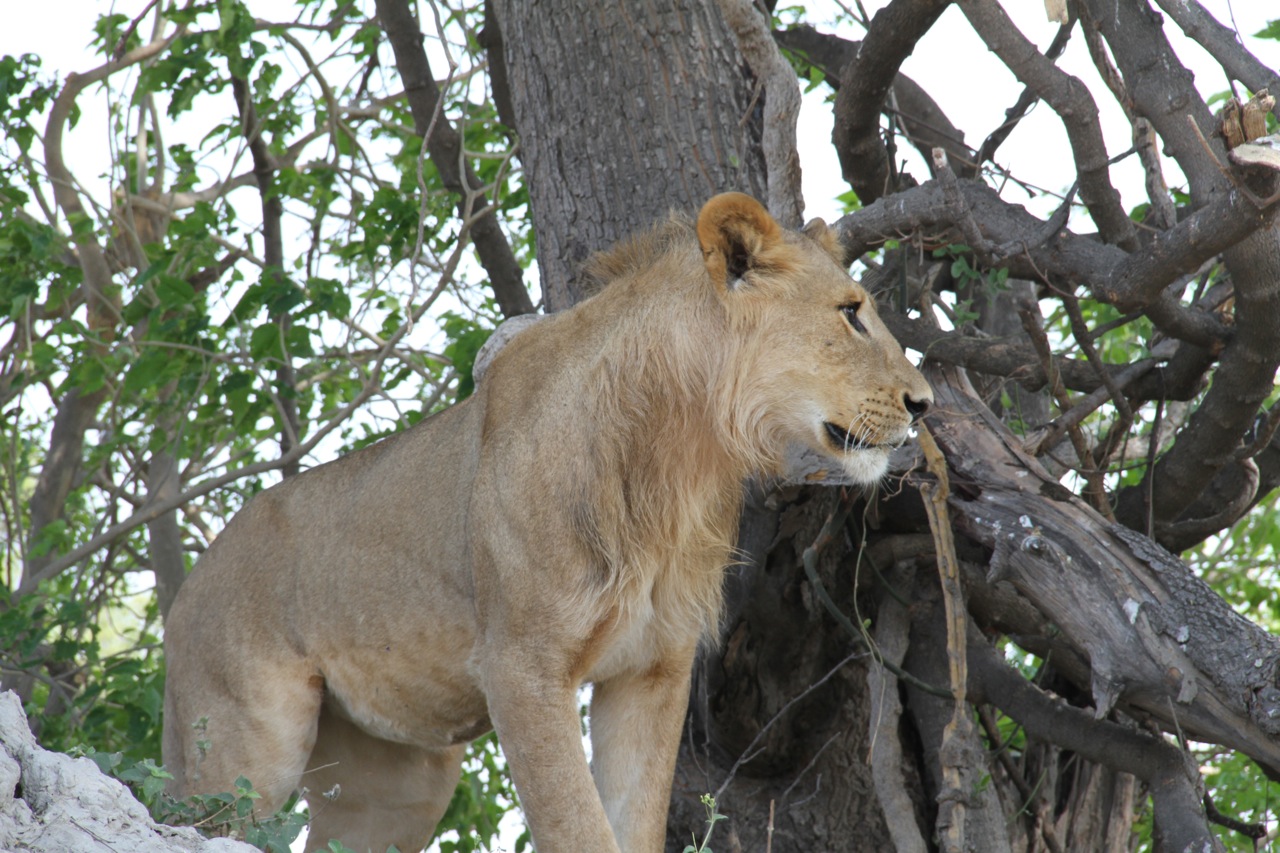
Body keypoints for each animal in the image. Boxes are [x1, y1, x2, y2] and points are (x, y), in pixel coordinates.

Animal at [165, 192, 936, 850]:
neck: (677, 461)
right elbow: (576, 824)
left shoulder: (654, 667)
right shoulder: (521, 664)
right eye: (851, 312)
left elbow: (634, 822)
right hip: (244, 746)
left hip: (398, 781)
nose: (924, 402)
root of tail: (186, 585)